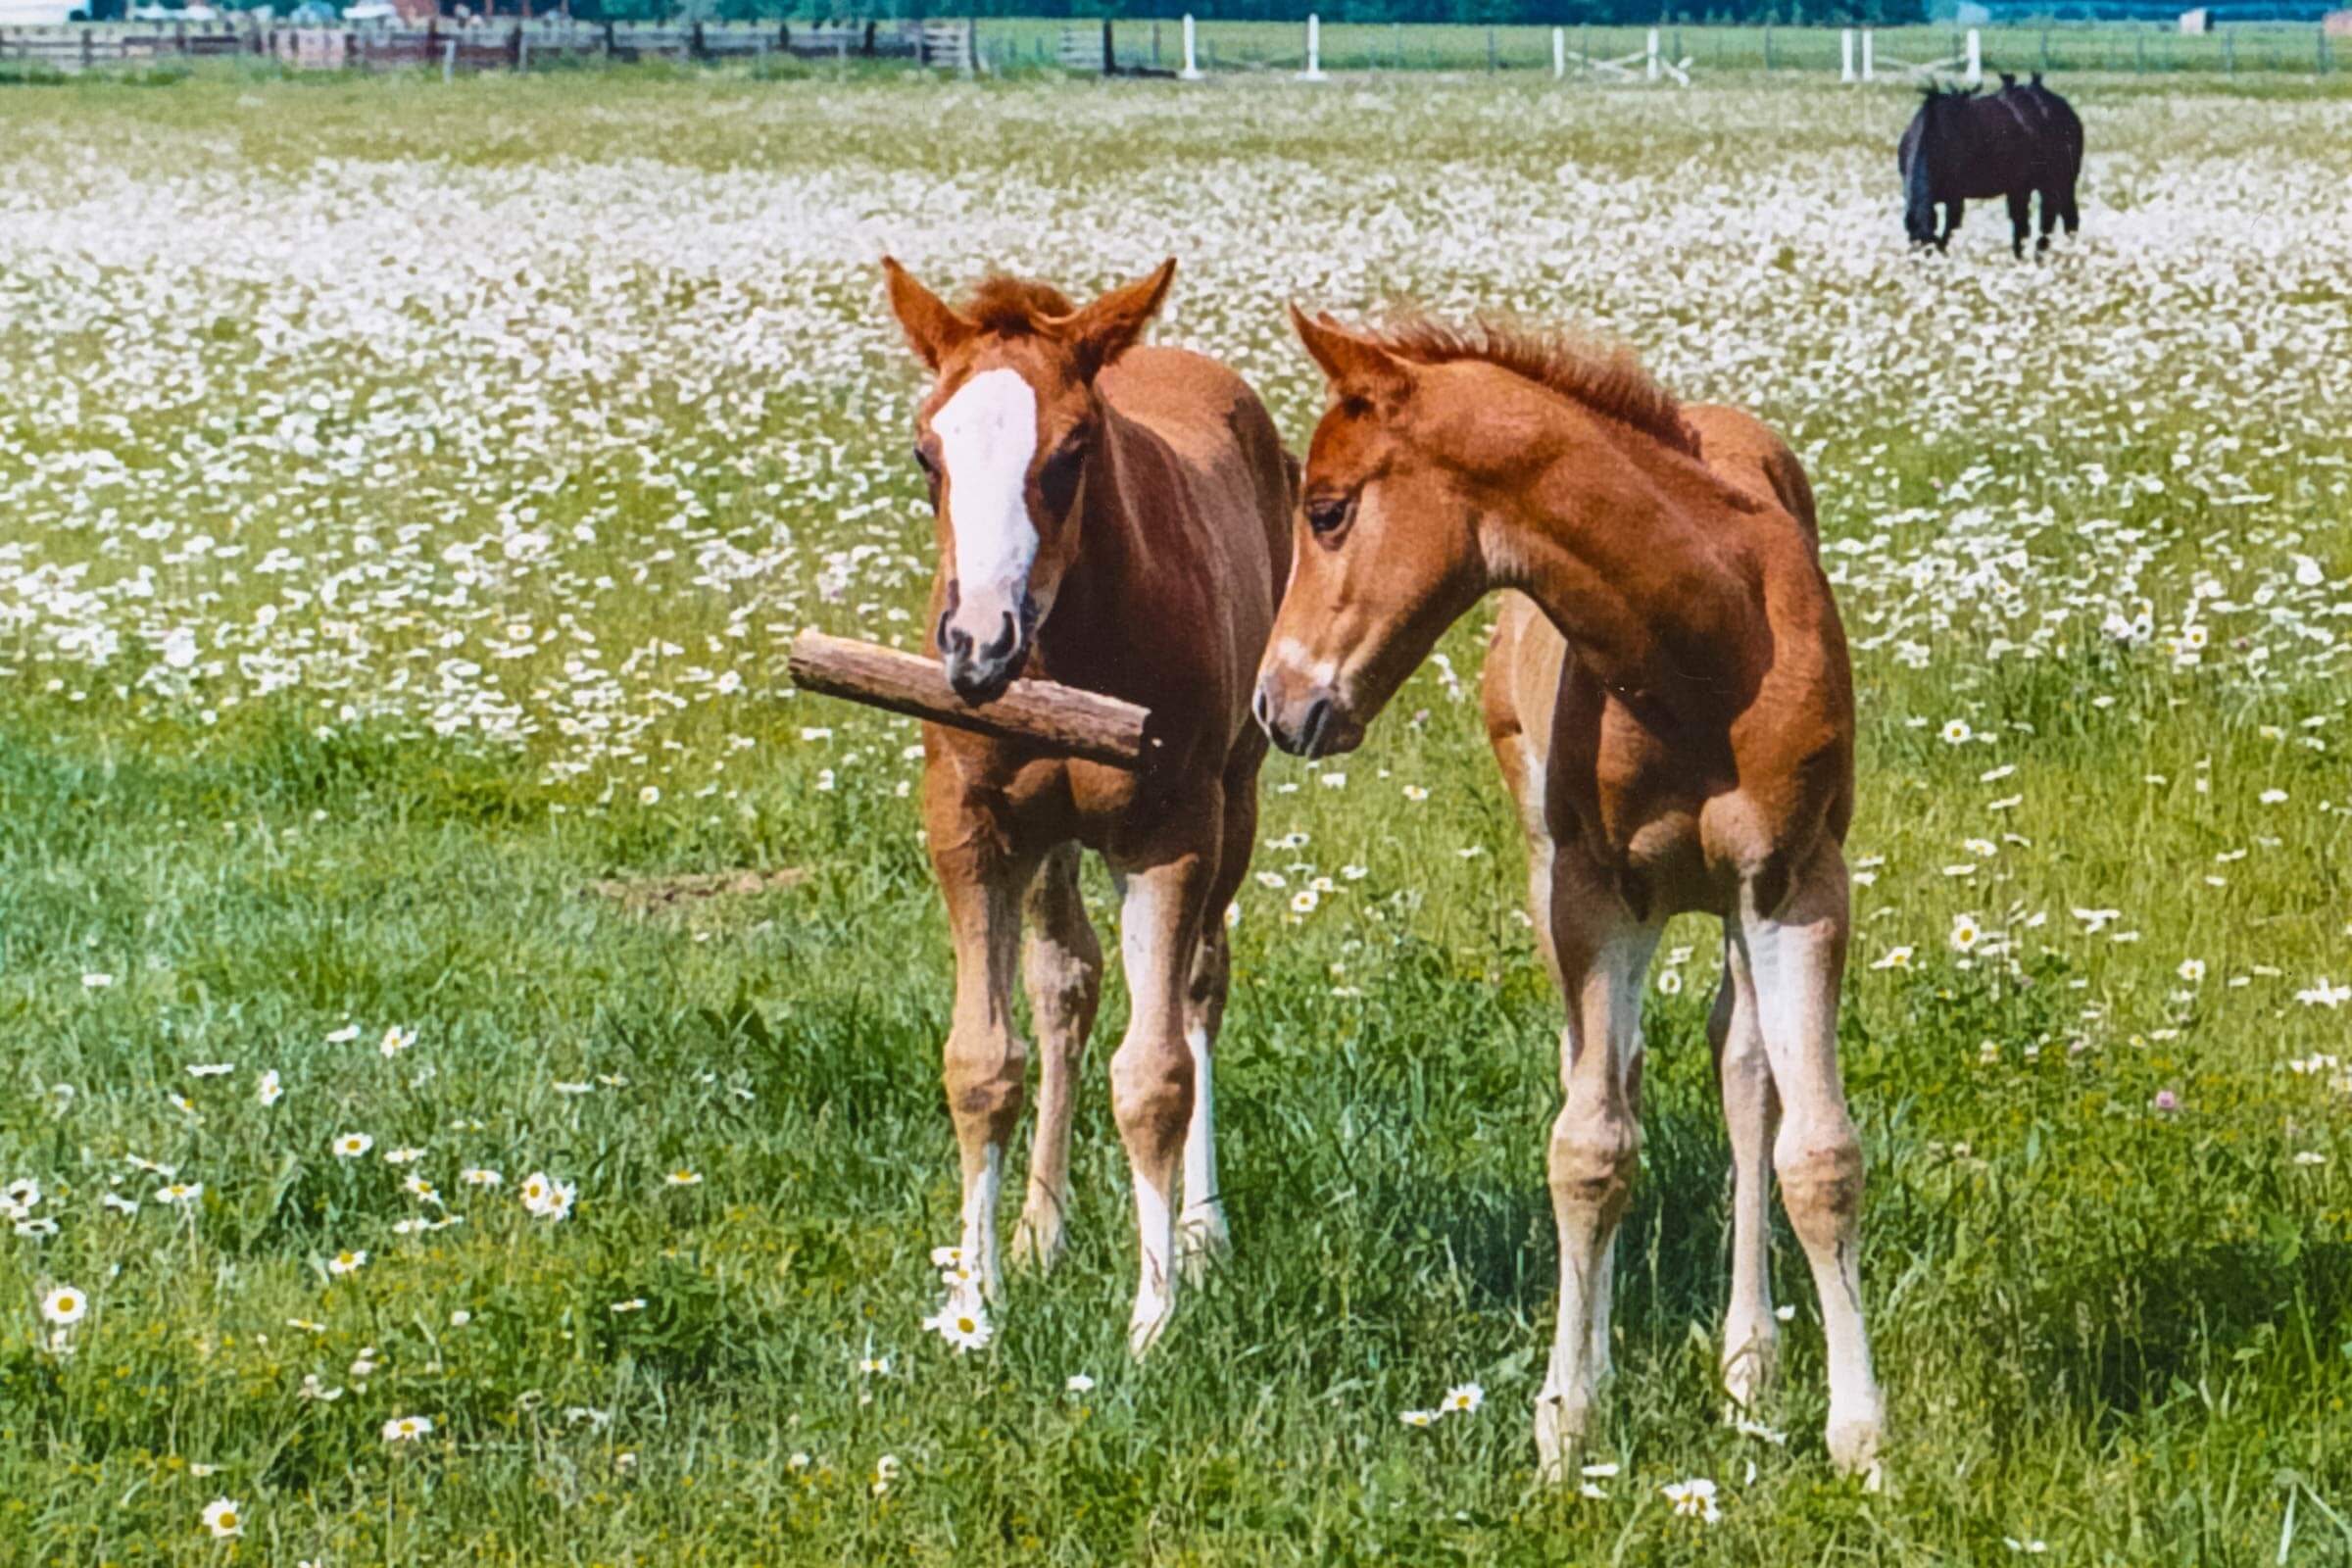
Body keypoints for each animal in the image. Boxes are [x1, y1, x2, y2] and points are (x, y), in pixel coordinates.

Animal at [880, 257, 1292, 1352]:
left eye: (1071, 454)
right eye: (925, 454)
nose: (977, 644)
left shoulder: (1171, 834)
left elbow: (1154, 1078)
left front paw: (1153, 1320)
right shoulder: (971, 828)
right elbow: (983, 1063)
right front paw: (975, 1304)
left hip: (1236, 798)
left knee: (1200, 987)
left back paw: (1201, 1232)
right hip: (1052, 840)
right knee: (1065, 985)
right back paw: (1039, 1231)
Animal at [1254, 309, 1885, 1479]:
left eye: (1326, 510)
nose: (1278, 705)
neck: (1701, 644)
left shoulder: (1798, 884)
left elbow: (1817, 1152)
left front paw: (1863, 1441)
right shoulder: (1598, 898)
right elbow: (1587, 1150)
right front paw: (1567, 1424)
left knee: (1742, 1071)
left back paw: (1748, 1362)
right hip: (1553, 874)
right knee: (1605, 1078)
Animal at [1900, 74, 2083, 256]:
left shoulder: (1955, 199)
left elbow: (1948, 233)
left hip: (2061, 182)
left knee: (2062, 218)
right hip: (2025, 188)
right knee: (2030, 223)